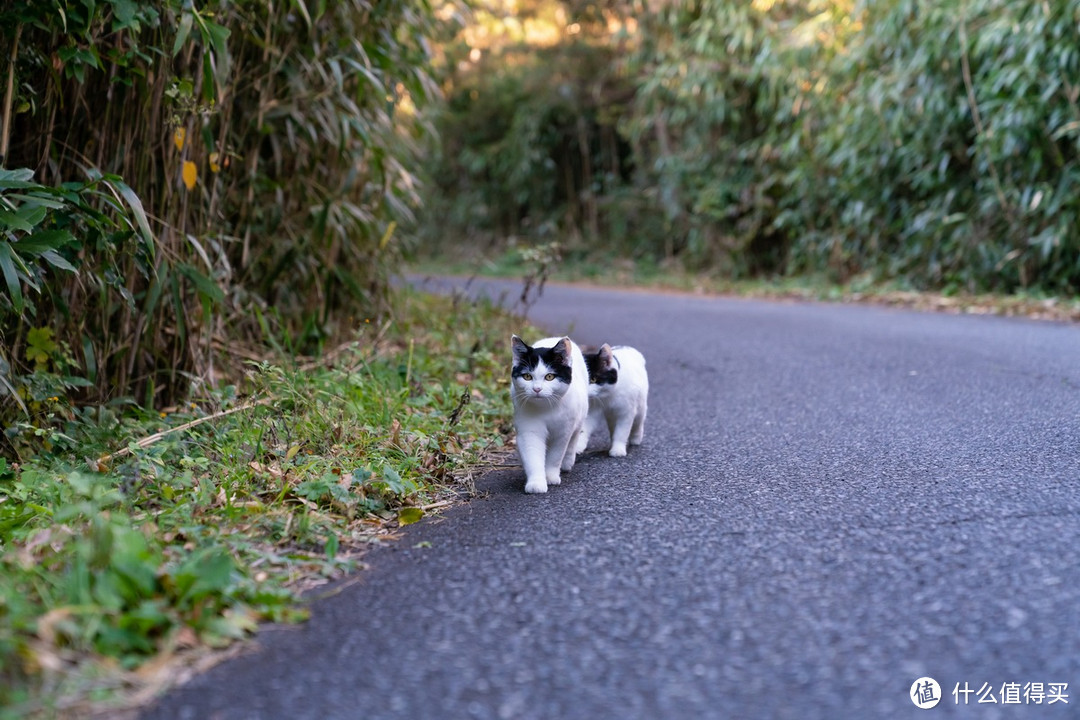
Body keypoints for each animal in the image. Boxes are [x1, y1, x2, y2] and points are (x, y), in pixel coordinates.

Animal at [507, 334, 587, 492]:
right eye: (527, 377)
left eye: (549, 377)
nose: (537, 389)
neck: (546, 409)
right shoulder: (529, 430)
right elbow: (532, 455)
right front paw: (536, 483)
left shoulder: (563, 432)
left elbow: (556, 455)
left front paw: (550, 476)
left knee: (574, 437)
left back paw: (568, 462)